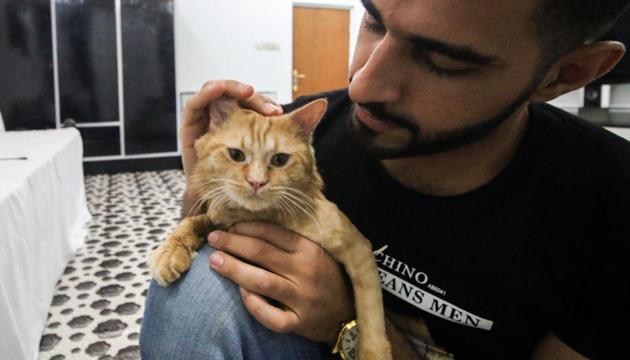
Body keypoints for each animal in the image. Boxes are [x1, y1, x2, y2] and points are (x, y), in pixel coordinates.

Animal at [150, 98, 392, 360]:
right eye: (236, 155)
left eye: (279, 160)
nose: (256, 182)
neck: (262, 216)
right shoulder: (218, 216)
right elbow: (193, 221)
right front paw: (168, 254)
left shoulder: (358, 248)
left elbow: (370, 311)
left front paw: (373, 352)